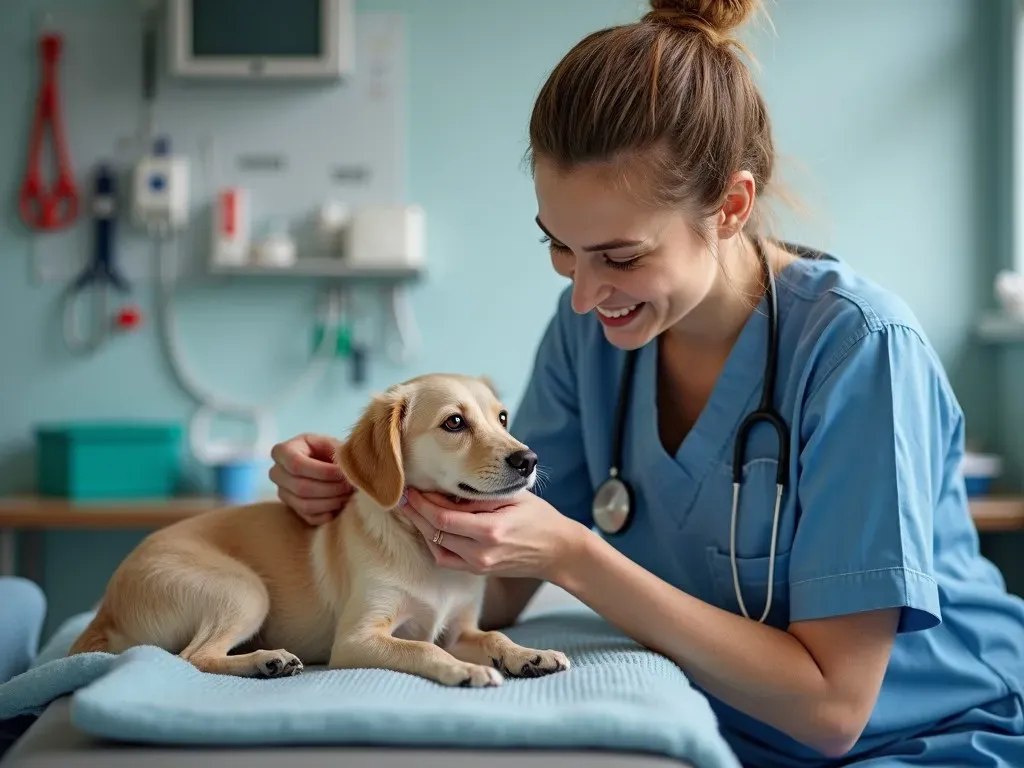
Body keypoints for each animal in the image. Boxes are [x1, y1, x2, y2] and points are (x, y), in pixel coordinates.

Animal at [68, 376, 573, 688]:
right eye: (454, 422)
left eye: (503, 418)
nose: (529, 459)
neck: (425, 555)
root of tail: (106, 608)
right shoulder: (356, 640)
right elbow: (421, 649)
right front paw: (463, 671)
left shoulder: (461, 628)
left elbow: (492, 638)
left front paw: (526, 653)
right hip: (242, 589)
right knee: (192, 658)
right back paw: (264, 660)